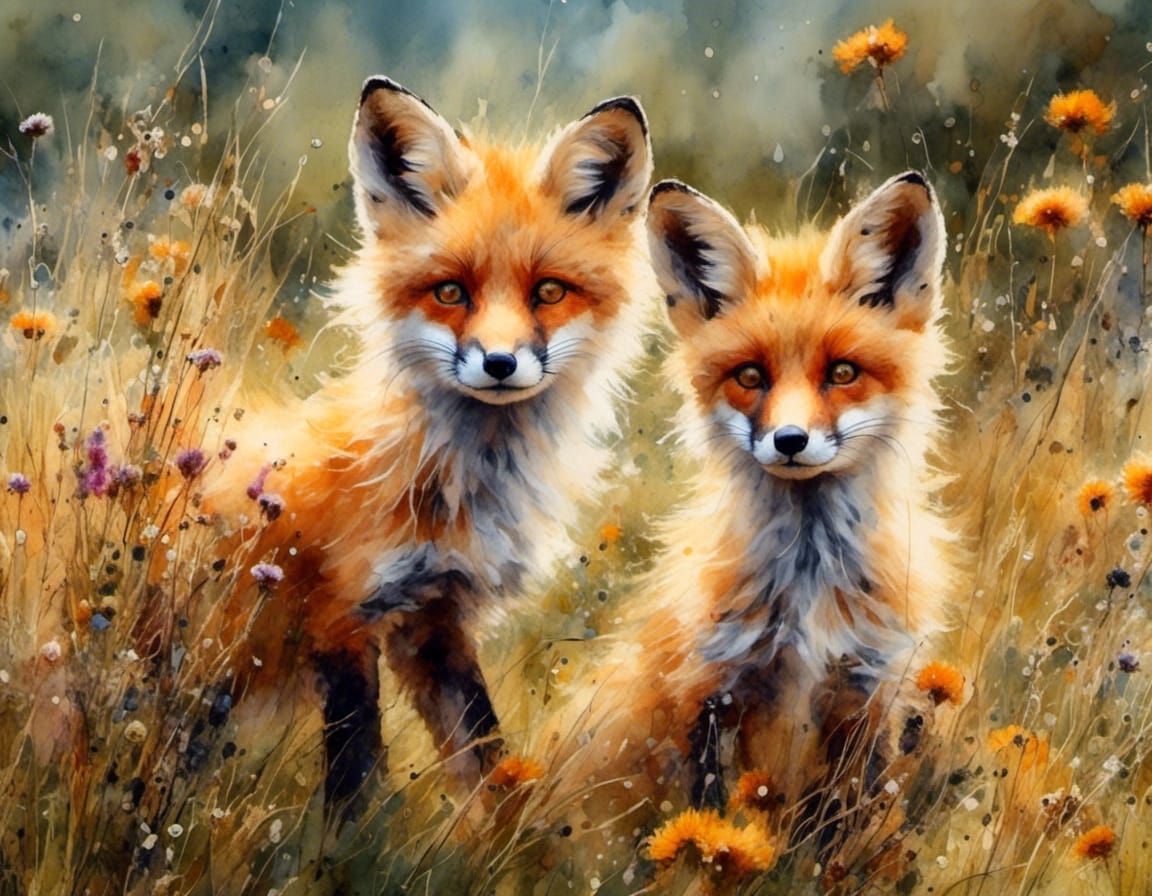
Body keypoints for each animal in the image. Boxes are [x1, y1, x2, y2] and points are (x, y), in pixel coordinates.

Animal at [194, 77, 653, 810]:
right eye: (450, 292)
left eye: (549, 291)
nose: (500, 363)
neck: (452, 487)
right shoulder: (343, 619)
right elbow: (356, 787)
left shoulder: (436, 620)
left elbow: (486, 760)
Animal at [549, 172, 952, 844]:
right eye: (749, 376)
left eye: (842, 372)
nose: (789, 440)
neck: (808, 592)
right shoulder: (710, 694)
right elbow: (707, 817)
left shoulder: (866, 692)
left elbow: (844, 831)